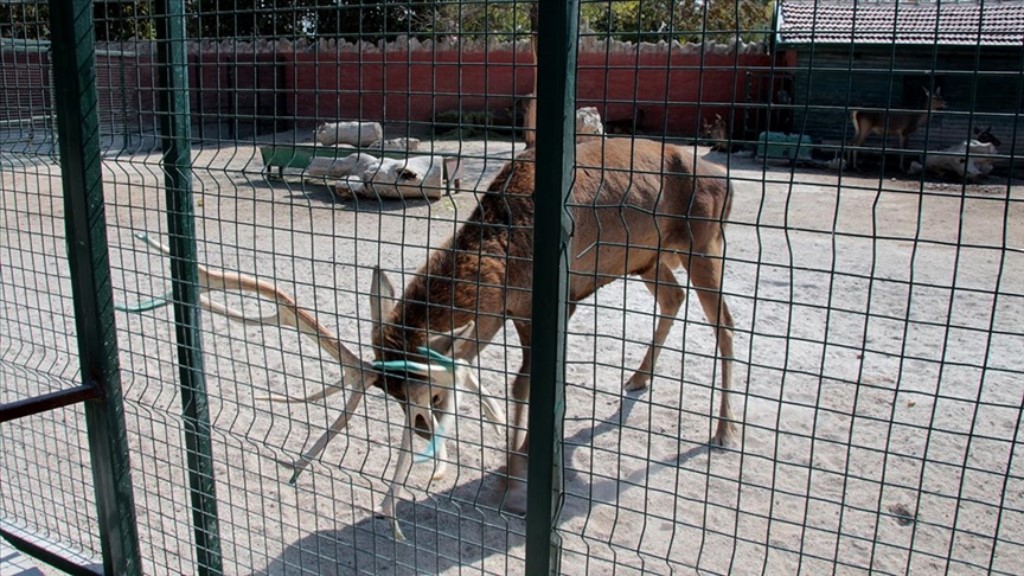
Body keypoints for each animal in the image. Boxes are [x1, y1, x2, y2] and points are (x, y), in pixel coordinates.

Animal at [121, 135, 737, 524]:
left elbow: (524, 387)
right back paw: (637, 380)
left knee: (726, 325)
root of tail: (726, 179)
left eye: (432, 396)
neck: (503, 254)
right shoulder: (508, 313)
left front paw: (514, 483)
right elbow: (514, 384)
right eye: (391, 399)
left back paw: (725, 431)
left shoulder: (547, 306)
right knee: (675, 298)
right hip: (649, 257)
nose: (420, 434)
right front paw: (508, 471)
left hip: (706, 240)